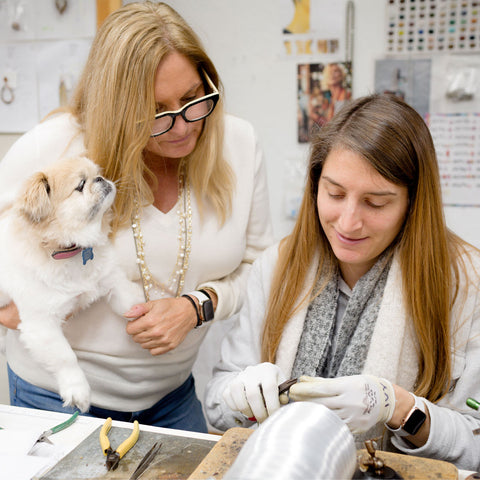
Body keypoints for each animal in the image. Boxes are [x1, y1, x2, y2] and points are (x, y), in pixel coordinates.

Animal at [0, 158, 143, 412]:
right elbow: (65, 357)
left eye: (98, 174)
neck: (71, 250)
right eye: (81, 185)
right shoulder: (42, 326)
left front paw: (142, 312)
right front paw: (78, 391)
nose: (101, 179)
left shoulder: (110, 278)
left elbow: (127, 298)